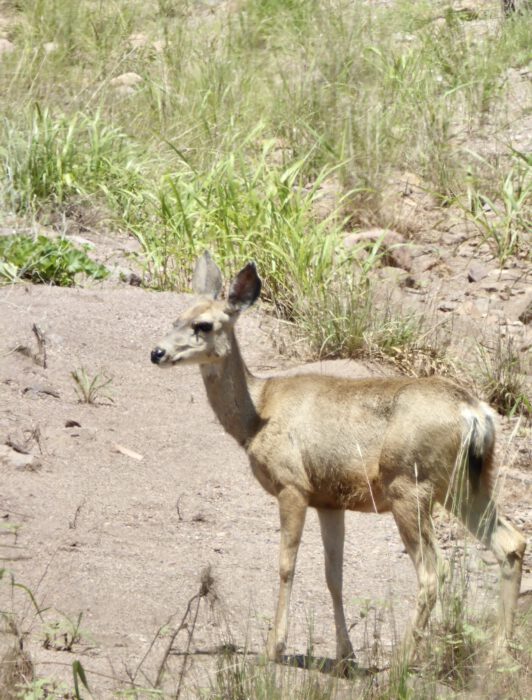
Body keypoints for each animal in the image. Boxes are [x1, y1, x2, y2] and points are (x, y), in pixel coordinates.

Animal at [150, 252, 526, 667]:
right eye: (177, 317)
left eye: (204, 324)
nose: (157, 353)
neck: (257, 415)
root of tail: (475, 412)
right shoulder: (330, 500)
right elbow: (334, 576)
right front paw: (346, 656)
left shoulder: (293, 484)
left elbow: (287, 565)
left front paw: (273, 647)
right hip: (465, 483)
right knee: (510, 543)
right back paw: (497, 652)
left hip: (409, 486)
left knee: (433, 570)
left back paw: (402, 661)